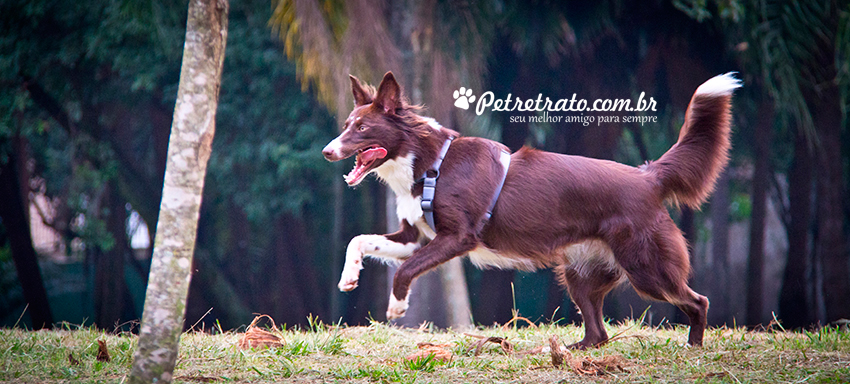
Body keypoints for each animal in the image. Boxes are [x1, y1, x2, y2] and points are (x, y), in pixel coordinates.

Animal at [322, 72, 740, 348]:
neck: (428, 163)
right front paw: (349, 276)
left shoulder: (458, 237)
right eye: (347, 124)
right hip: (580, 272)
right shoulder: (415, 236)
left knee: (697, 300)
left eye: (362, 129)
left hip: (647, 268)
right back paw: (571, 352)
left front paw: (396, 306)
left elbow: (405, 269)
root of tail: (648, 176)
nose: (327, 151)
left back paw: (694, 347)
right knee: (599, 332)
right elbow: (361, 240)